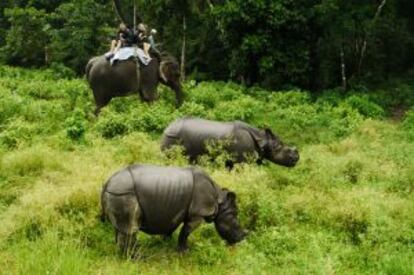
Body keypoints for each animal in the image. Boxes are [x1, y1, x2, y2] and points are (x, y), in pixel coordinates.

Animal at [101, 165, 246, 258]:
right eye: (234, 217)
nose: (240, 240)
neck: (219, 200)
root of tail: (107, 183)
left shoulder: (176, 210)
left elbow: (172, 226)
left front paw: (165, 243)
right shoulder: (198, 213)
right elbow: (185, 232)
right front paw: (185, 252)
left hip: (118, 192)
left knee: (122, 228)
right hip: (124, 193)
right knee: (130, 228)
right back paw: (135, 258)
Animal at [160, 117, 300, 168]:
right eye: (284, 149)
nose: (297, 157)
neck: (262, 138)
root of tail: (167, 127)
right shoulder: (241, 161)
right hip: (172, 138)